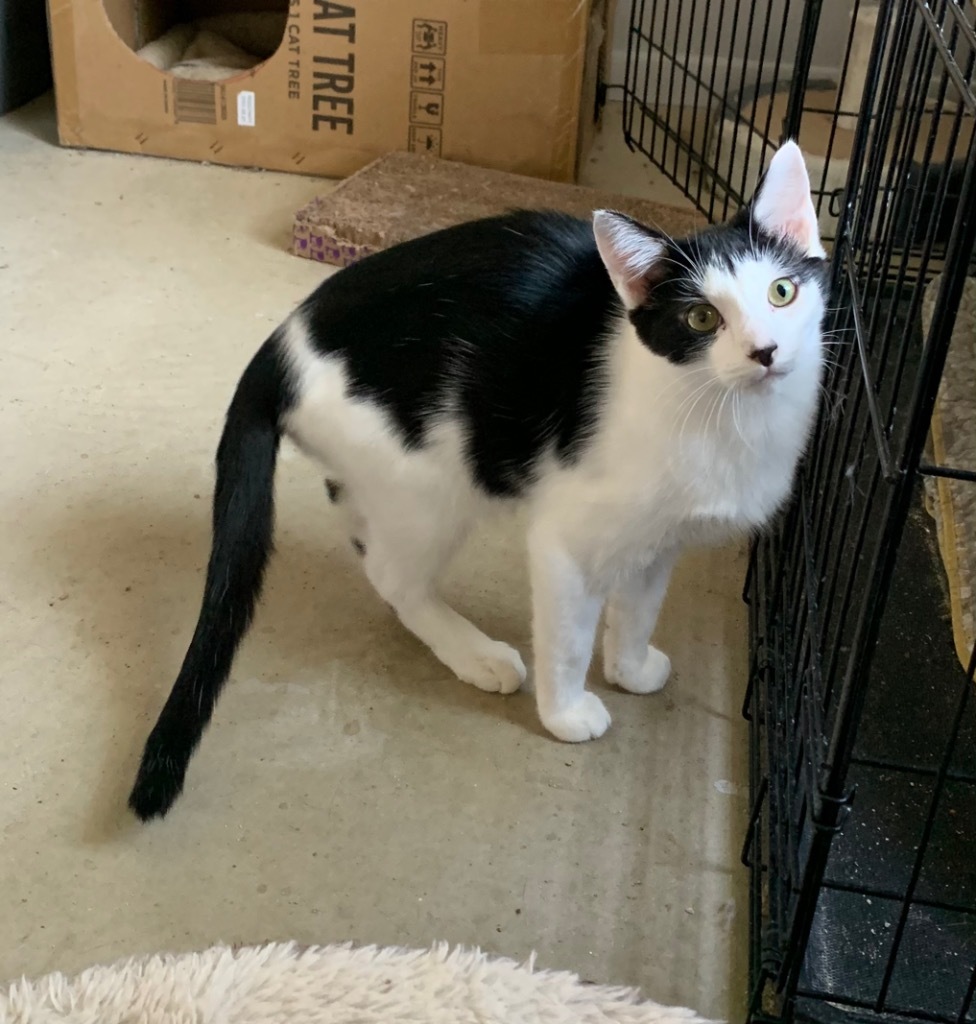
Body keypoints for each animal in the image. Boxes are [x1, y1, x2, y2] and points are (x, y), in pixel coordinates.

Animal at [129, 140, 827, 819]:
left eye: (782, 292)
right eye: (700, 319)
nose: (765, 351)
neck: (720, 414)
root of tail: (281, 342)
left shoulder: (661, 538)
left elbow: (640, 608)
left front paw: (630, 667)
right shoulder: (567, 539)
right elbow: (568, 638)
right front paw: (565, 712)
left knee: (359, 524)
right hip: (434, 480)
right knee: (393, 573)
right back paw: (475, 653)